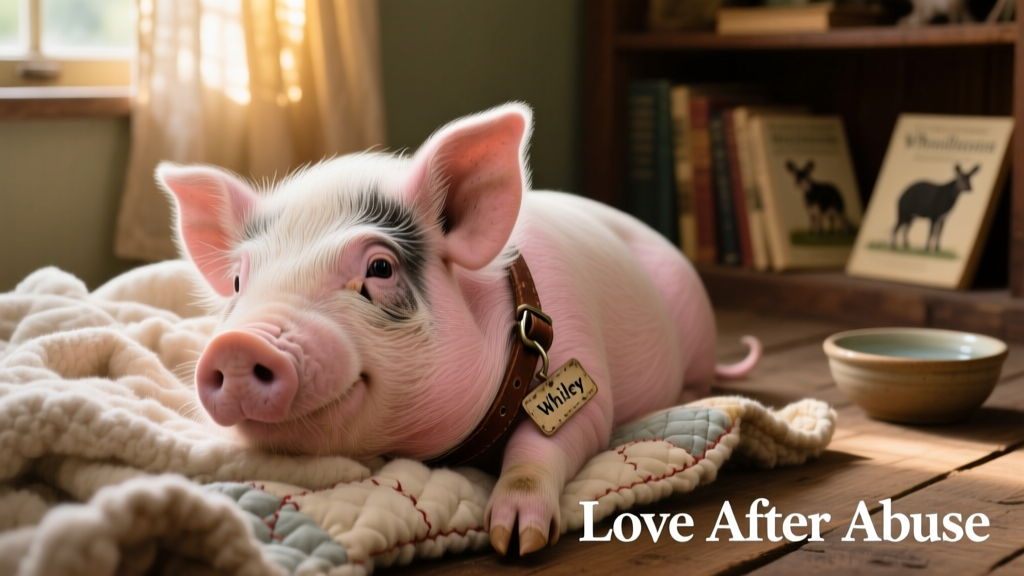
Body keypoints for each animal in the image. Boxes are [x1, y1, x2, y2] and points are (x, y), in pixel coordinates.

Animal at [158, 103, 760, 556]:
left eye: (380, 268)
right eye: (239, 280)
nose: (238, 344)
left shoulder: (583, 374)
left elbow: (552, 440)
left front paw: (515, 540)